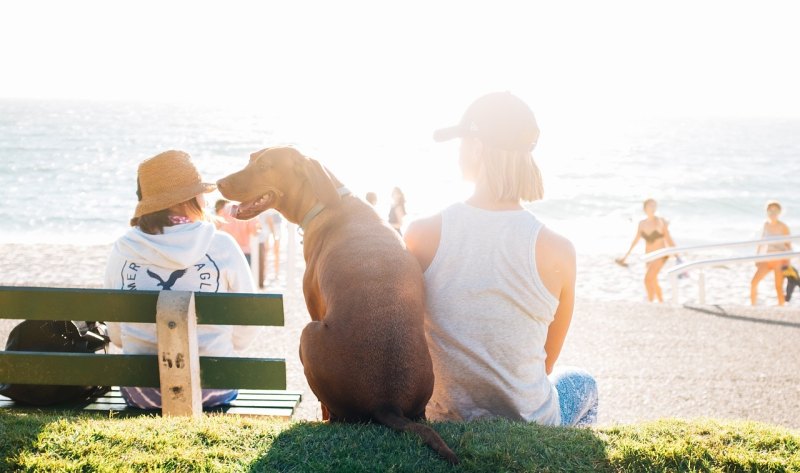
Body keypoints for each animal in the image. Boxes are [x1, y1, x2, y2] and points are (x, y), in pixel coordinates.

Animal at [217, 147, 456, 460]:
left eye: (265, 166)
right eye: (250, 159)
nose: (218, 183)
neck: (327, 201)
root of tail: (387, 403)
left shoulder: (314, 307)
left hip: (307, 333)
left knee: (333, 412)